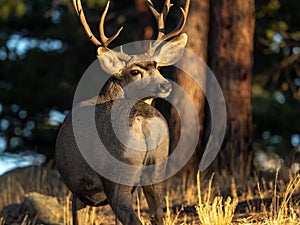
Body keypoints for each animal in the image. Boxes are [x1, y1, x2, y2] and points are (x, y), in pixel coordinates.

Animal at [55, 0, 190, 223]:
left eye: (157, 66)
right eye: (135, 71)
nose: (165, 85)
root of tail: (145, 121)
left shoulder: (78, 187)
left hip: (117, 172)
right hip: (157, 166)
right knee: (158, 213)